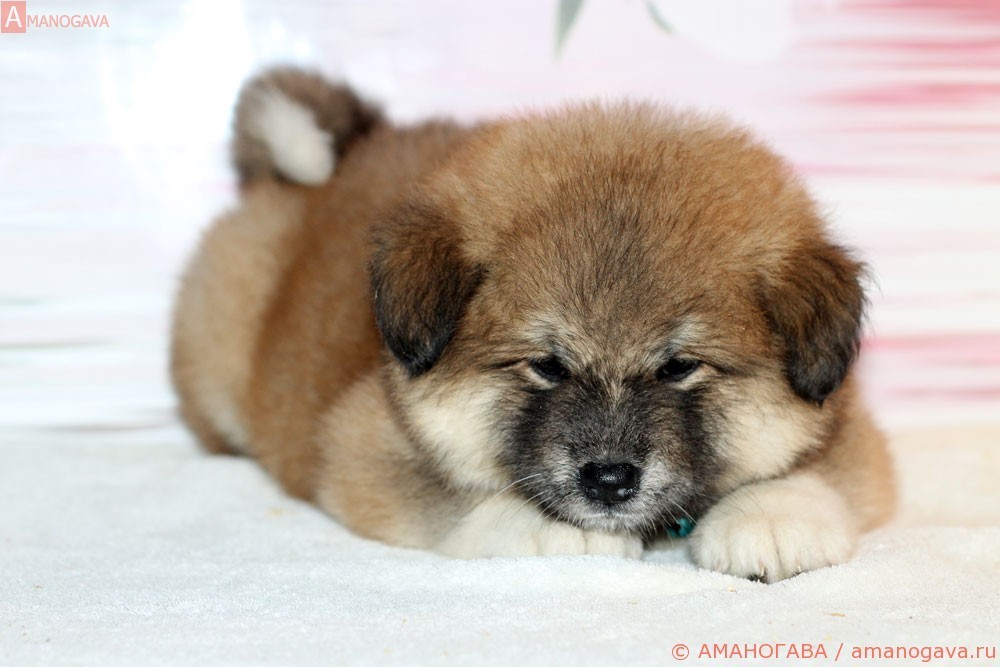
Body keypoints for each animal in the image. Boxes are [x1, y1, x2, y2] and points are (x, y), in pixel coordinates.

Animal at [171, 67, 895, 582]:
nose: (610, 479)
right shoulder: (359, 441)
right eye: (547, 365)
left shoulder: (852, 429)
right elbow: (461, 500)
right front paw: (560, 529)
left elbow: (819, 473)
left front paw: (770, 516)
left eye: (678, 367)